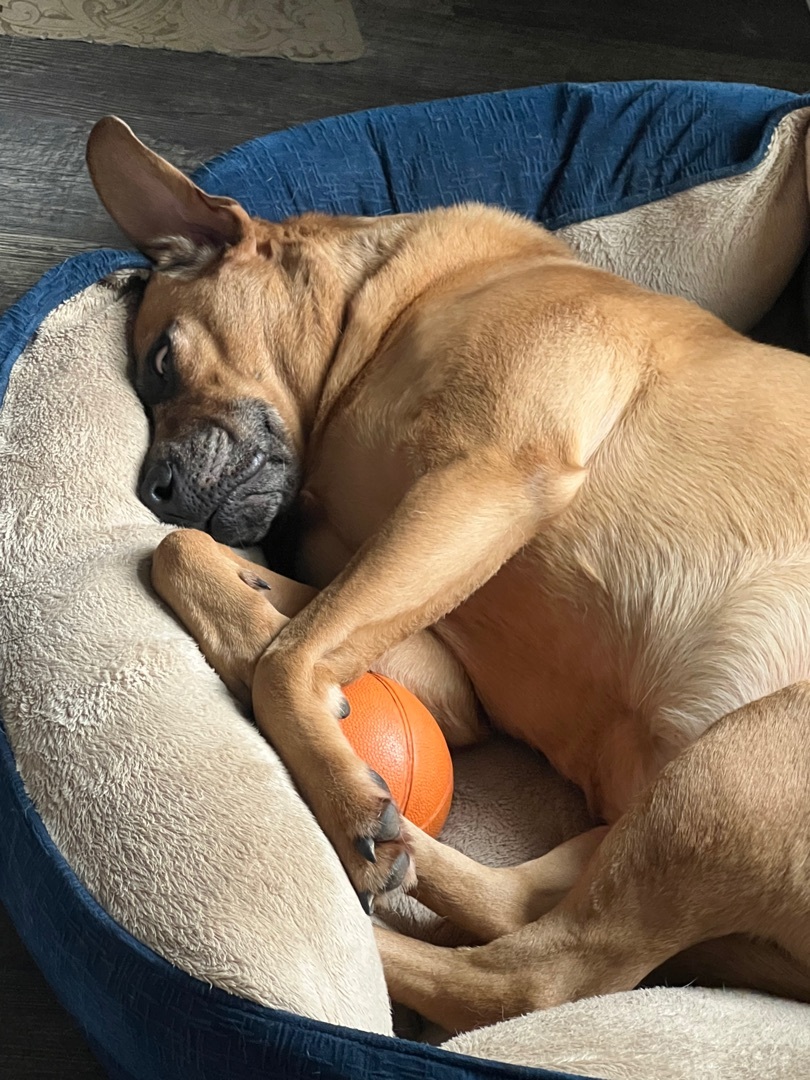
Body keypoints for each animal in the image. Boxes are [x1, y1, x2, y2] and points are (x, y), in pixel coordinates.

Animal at [85, 113, 810, 1032]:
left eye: (162, 363)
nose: (155, 490)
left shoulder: (487, 476)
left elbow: (288, 656)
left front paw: (338, 783)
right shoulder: (438, 643)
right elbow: (203, 572)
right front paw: (267, 655)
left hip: (735, 766)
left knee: (533, 977)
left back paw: (348, 922)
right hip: (664, 803)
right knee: (516, 910)